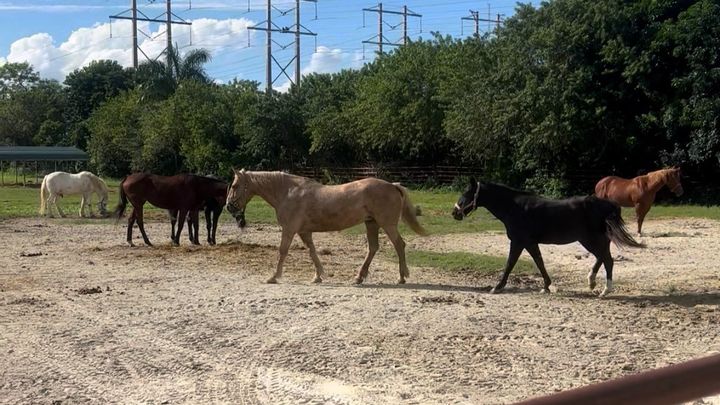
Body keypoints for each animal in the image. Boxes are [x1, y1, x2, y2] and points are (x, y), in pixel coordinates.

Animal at [225, 169, 427, 284]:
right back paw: (359, 277)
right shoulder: (304, 232)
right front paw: (318, 276)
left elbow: (282, 252)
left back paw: (401, 277)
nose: (228, 206)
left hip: (387, 224)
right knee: (373, 248)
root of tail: (393, 185)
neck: (288, 193)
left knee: (399, 245)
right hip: (372, 223)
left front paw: (274, 277)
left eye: (234, 185)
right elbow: (312, 252)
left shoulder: (289, 230)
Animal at [452, 178, 645, 297]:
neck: (514, 208)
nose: (455, 212)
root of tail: (607, 204)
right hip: (595, 239)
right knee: (602, 258)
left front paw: (497, 287)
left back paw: (605, 290)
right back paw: (591, 282)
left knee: (607, 260)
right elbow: (539, 262)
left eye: (467, 193)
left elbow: (510, 264)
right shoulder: (529, 242)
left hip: (590, 239)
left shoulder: (518, 241)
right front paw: (546, 286)